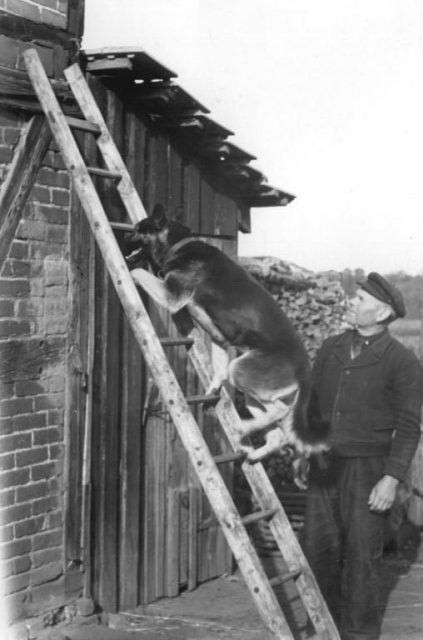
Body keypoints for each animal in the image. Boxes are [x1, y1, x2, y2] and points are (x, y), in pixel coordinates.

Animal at [126, 208, 332, 462]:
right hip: (256, 394)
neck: (179, 245)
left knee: (280, 412)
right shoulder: (219, 339)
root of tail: (305, 372)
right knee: (279, 435)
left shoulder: (171, 295)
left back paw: (245, 428)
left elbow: (137, 271)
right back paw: (252, 453)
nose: (123, 237)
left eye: (137, 229)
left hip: (242, 372)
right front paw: (214, 388)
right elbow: (218, 370)